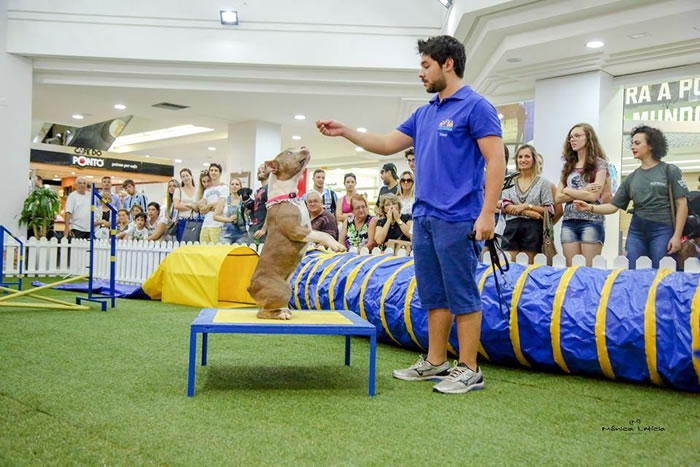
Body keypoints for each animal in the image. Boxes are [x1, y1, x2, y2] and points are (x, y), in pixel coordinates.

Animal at [247, 148, 346, 320]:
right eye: (288, 153)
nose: (304, 147)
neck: (288, 197)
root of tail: (251, 287)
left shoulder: (308, 228)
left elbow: (323, 234)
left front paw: (334, 244)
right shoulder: (297, 230)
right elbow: (323, 235)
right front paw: (337, 246)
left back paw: (283, 310)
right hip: (283, 289)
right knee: (261, 313)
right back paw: (282, 314)